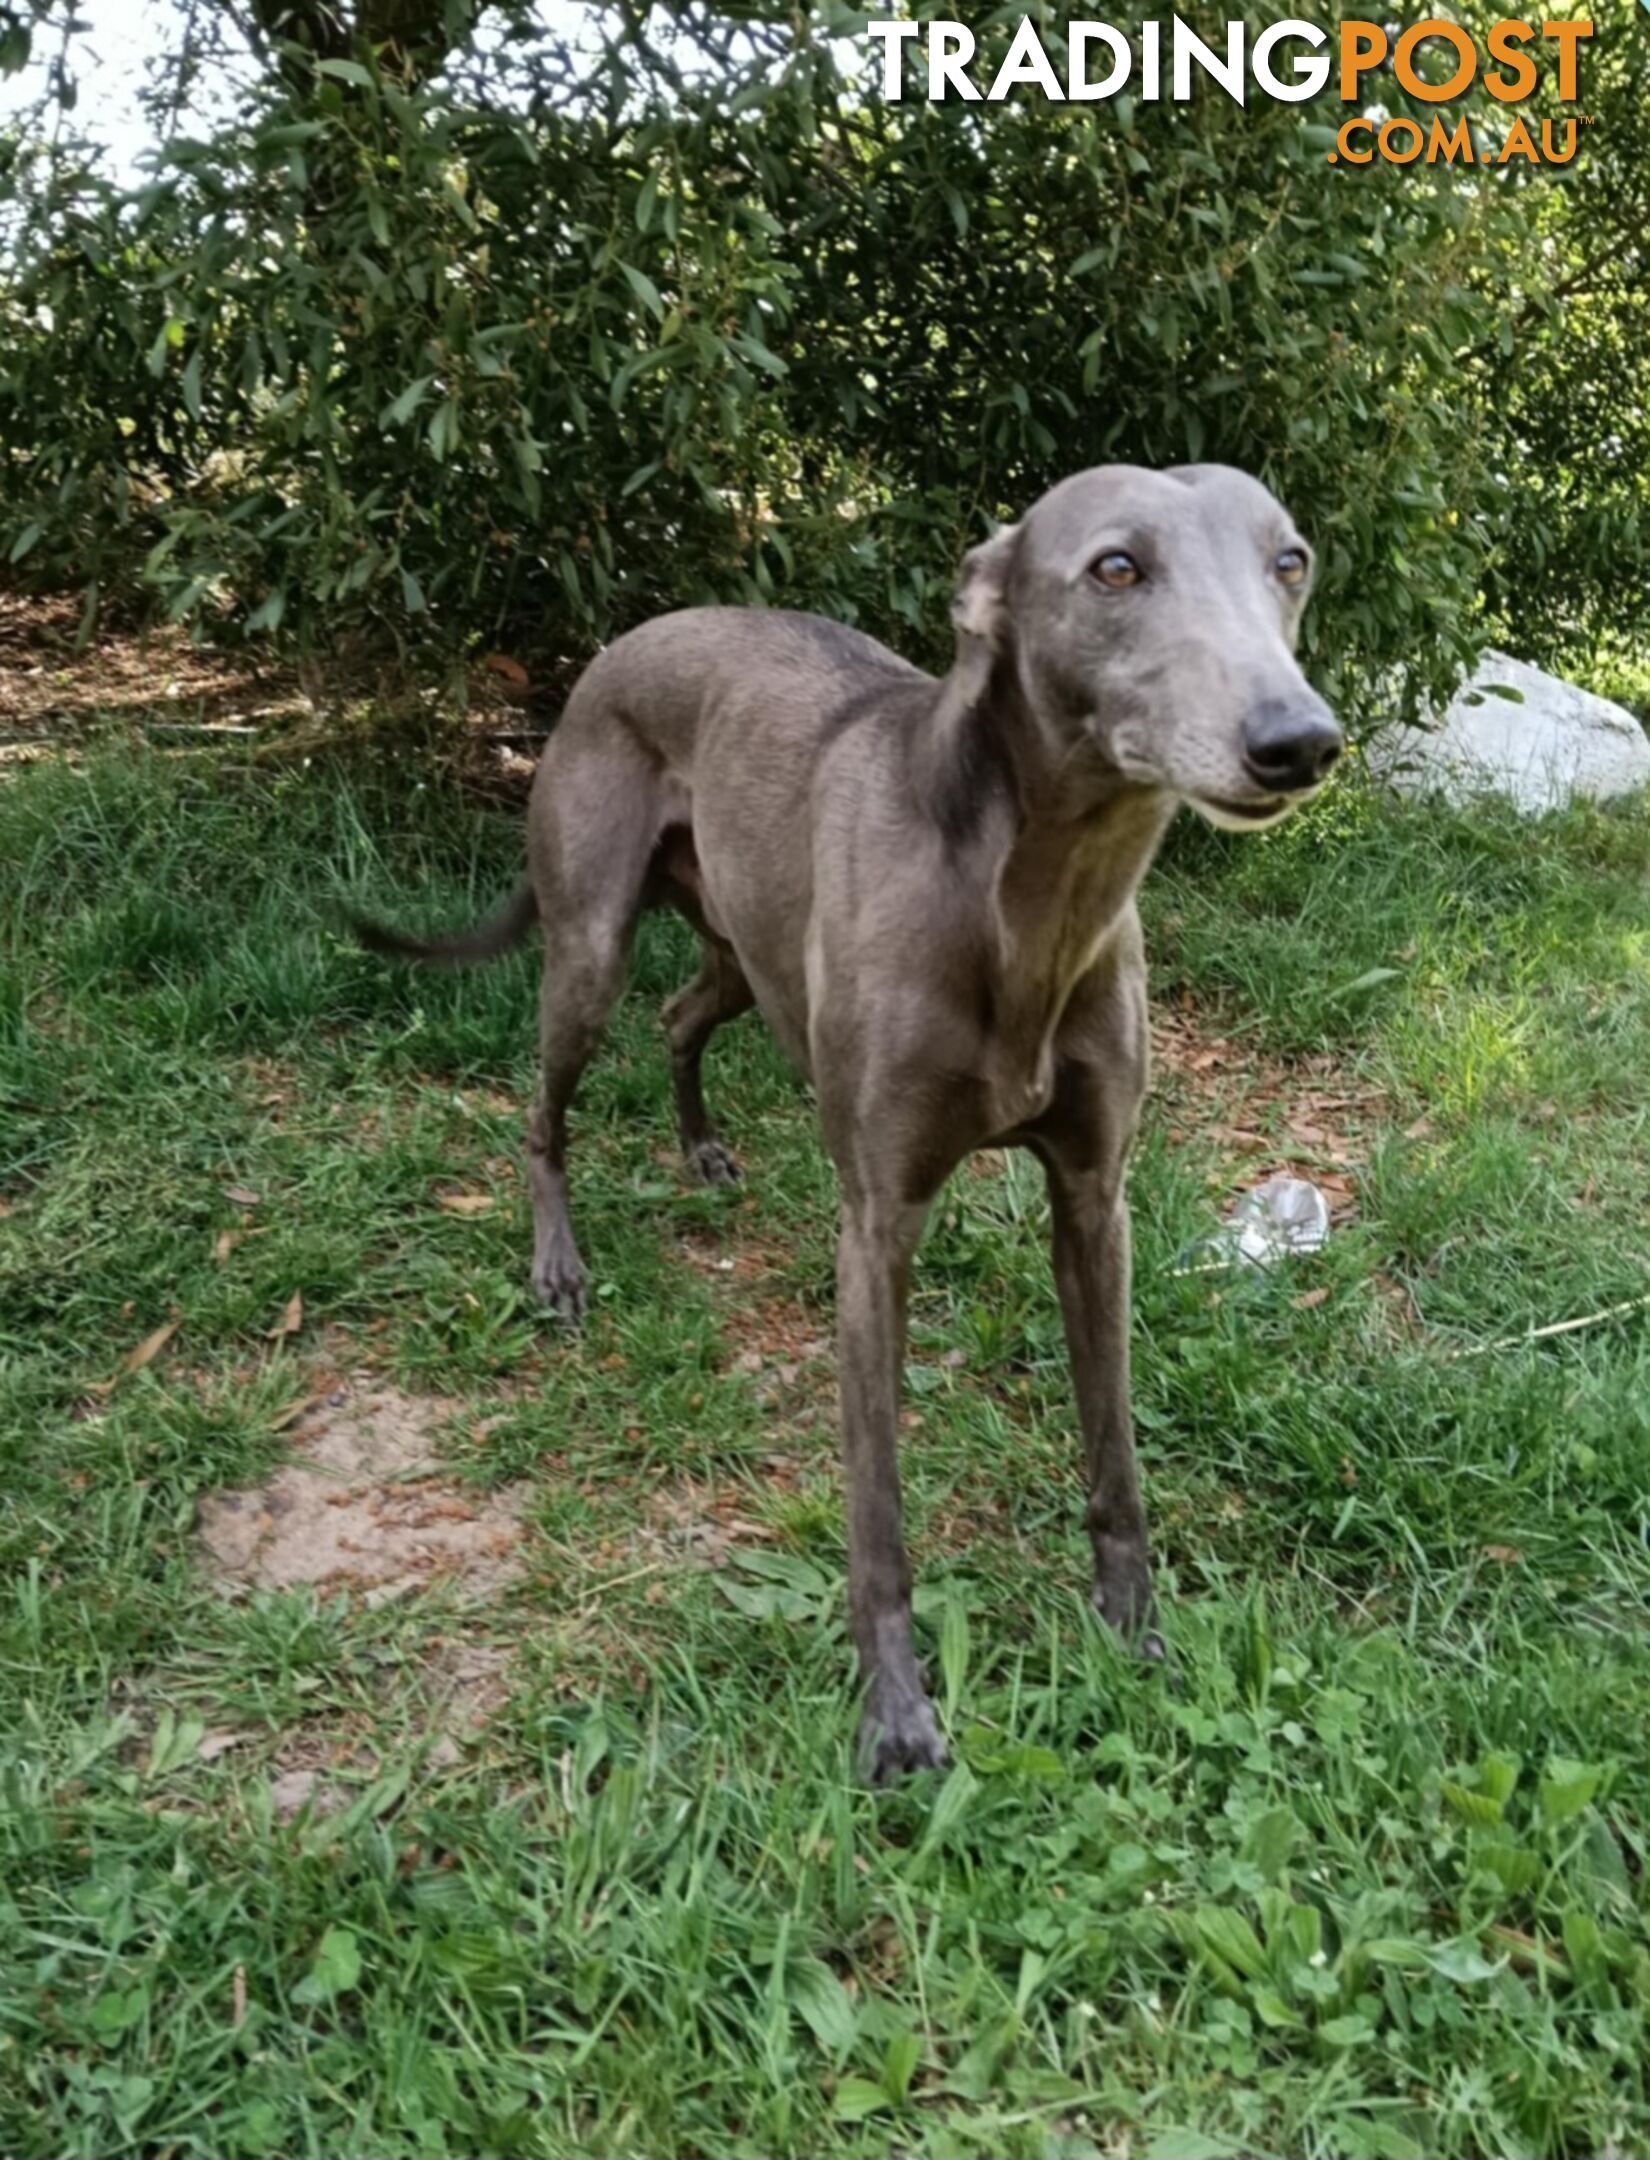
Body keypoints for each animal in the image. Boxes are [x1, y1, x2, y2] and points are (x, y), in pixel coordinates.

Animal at [358, 464, 1339, 1779]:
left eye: (1289, 561)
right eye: (1116, 569)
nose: (1298, 742)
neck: (1031, 901)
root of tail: (628, 639)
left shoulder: (1096, 1201)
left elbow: (1115, 1454)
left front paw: (1133, 1634)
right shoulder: (878, 1227)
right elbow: (878, 1515)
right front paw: (897, 1717)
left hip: (743, 951)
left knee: (680, 1013)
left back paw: (699, 1146)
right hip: (591, 945)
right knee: (546, 1107)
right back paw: (556, 1263)